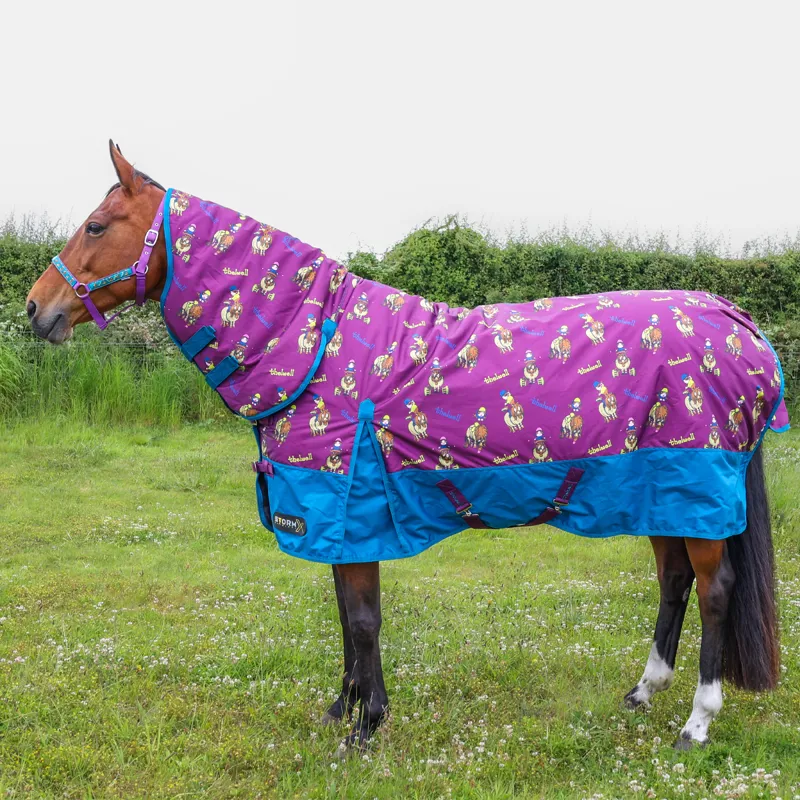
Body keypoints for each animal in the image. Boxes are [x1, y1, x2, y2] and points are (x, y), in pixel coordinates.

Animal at [26, 142, 785, 753]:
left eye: (97, 225)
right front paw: (344, 709)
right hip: (661, 493)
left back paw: (696, 722)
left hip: (696, 493)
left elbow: (362, 621)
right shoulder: (335, 520)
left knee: (714, 591)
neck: (315, 344)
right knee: (674, 581)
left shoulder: (350, 509)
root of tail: (737, 324)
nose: (35, 308)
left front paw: (366, 728)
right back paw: (642, 693)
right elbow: (344, 618)